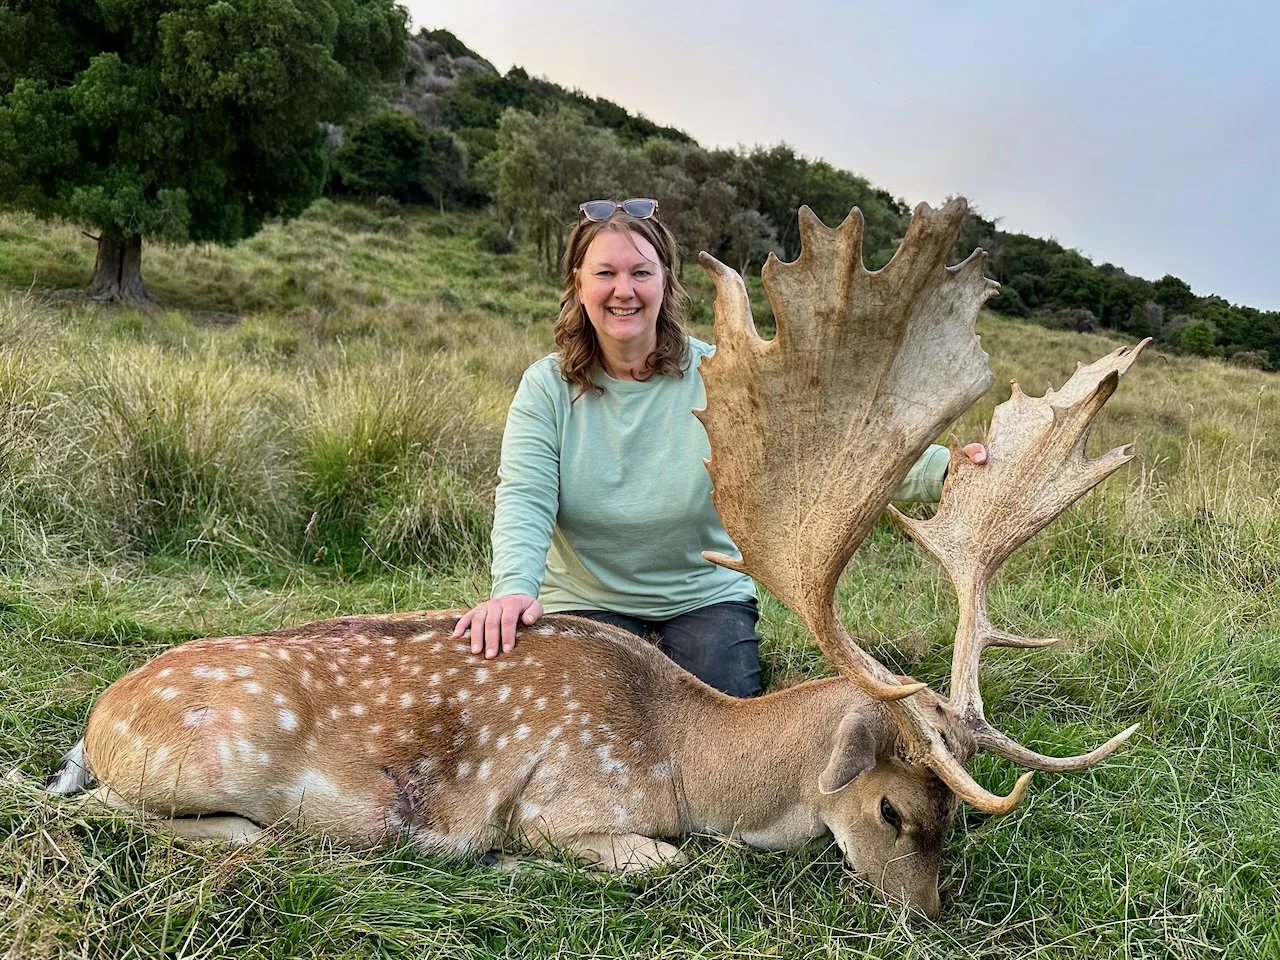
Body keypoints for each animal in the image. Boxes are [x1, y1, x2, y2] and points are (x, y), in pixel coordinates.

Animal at [42, 199, 1145, 917]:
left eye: (952, 818)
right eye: (889, 806)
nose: (928, 913)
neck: (684, 760)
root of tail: (95, 722)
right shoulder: (562, 800)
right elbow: (674, 864)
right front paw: (511, 867)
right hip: (198, 760)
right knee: (103, 812)